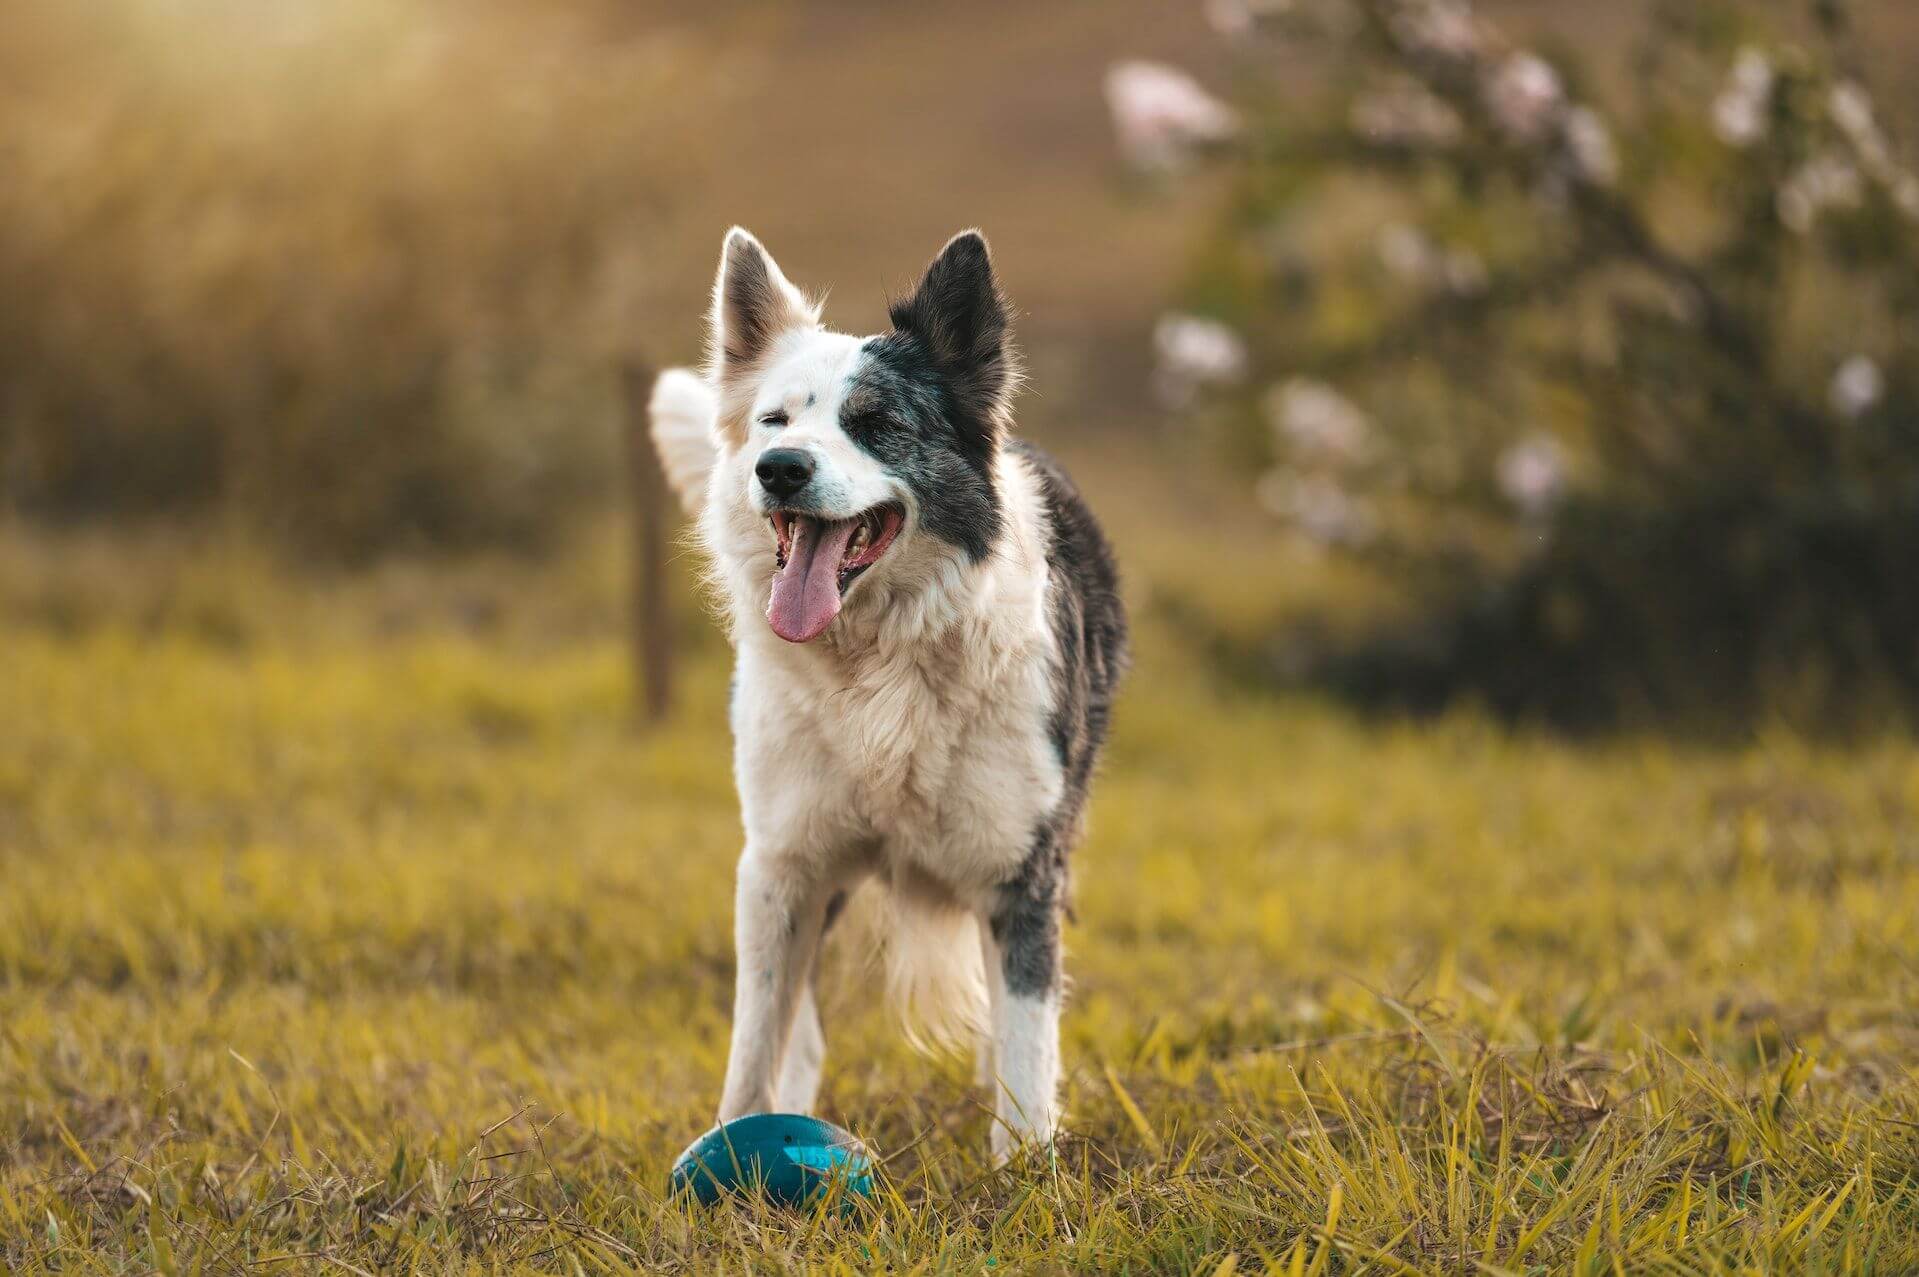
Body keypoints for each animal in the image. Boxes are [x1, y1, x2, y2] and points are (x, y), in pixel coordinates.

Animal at [652, 229, 1120, 1152]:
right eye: (774, 420)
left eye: (874, 426)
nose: (779, 469)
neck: (878, 663)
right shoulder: (780, 863)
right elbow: (755, 1036)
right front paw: (727, 1145)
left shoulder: (1022, 868)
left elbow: (1025, 1042)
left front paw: (1025, 1166)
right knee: (798, 1026)